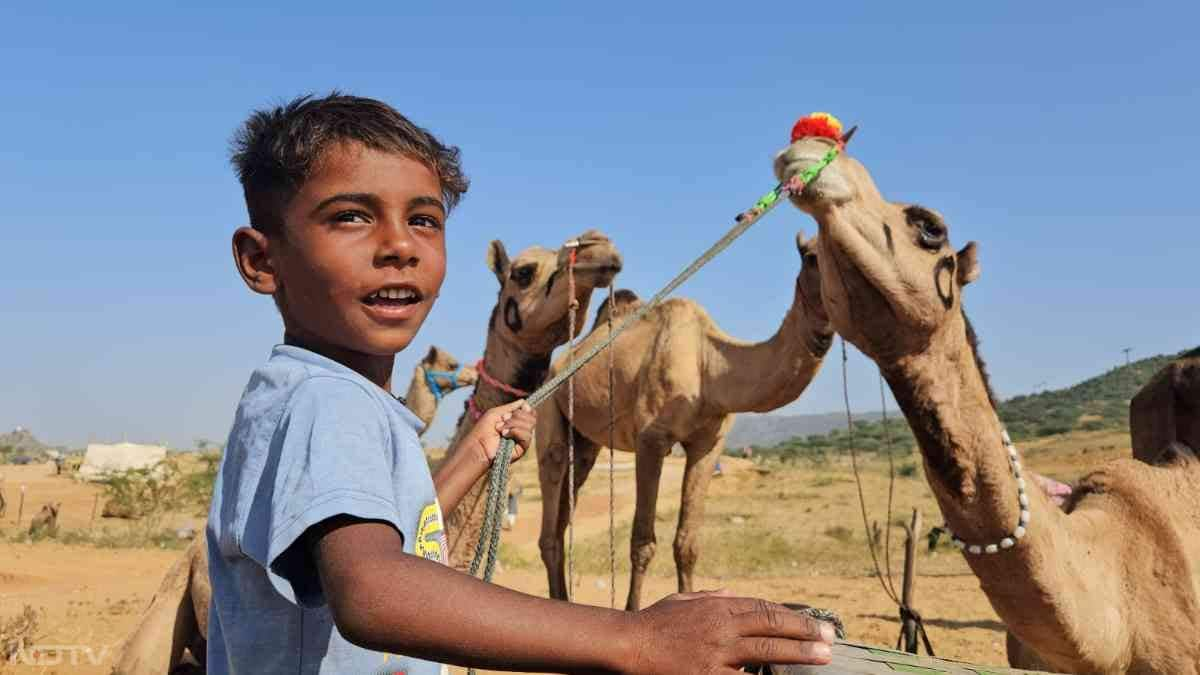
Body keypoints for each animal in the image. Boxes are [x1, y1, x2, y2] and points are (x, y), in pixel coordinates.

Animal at [537, 228, 835, 607]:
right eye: (810, 257)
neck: (707, 365)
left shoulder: (708, 443)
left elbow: (688, 543)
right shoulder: (651, 439)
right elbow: (642, 542)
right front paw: (633, 610)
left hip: (586, 443)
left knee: (565, 513)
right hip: (549, 408)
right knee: (553, 483)